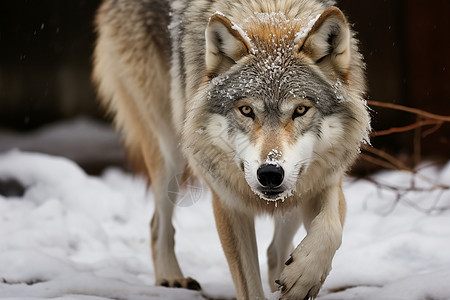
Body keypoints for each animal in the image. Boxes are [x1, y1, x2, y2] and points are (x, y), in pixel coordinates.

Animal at [93, 0, 370, 298]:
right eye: (246, 110)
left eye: (300, 110)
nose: (270, 173)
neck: (271, 12)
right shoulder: (228, 202)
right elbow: (249, 285)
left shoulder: (325, 180)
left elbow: (330, 229)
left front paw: (303, 276)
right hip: (169, 151)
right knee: (158, 224)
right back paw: (171, 278)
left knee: (275, 251)